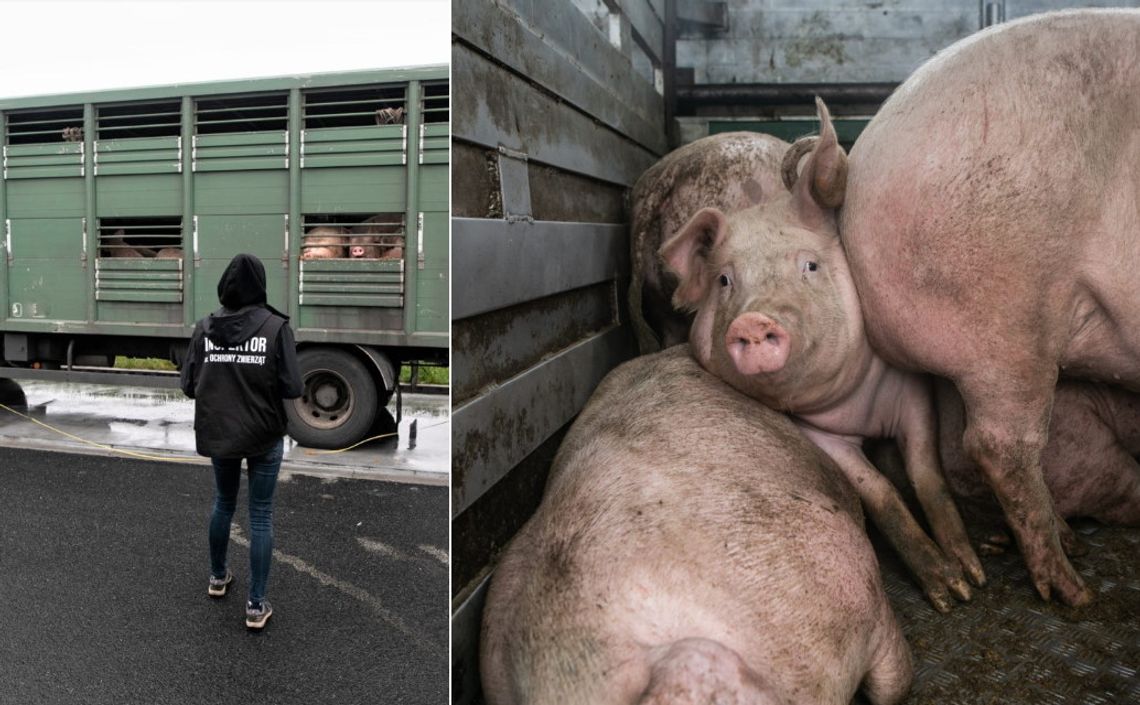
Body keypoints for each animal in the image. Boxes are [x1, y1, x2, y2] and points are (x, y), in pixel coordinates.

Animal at [665, 98, 984, 611]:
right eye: (725, 280)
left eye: (810, 266)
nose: (752, 322)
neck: (859, 408)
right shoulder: (818, 432)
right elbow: (879, 493)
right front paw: (945, 592)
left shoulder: (912, 393)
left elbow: (926, 473)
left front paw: (969, 581)